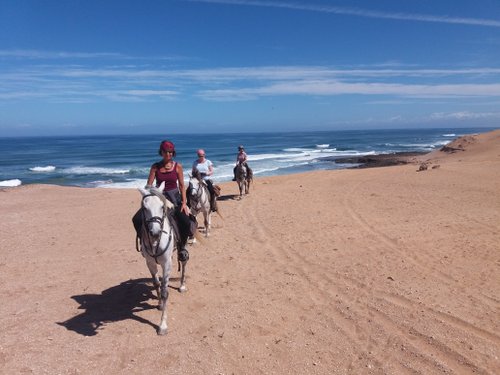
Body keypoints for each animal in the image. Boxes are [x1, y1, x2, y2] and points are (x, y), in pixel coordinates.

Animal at [137, 187, 188, 336]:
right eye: (144, 207)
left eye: (161, 206)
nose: (155, 233)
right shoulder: (150, 263)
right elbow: (156, 283)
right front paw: (159, 304)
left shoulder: (166, 264)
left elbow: (165, 292)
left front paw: (162, 325)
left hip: (182, 248)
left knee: (183, 262)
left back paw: (182, 285)